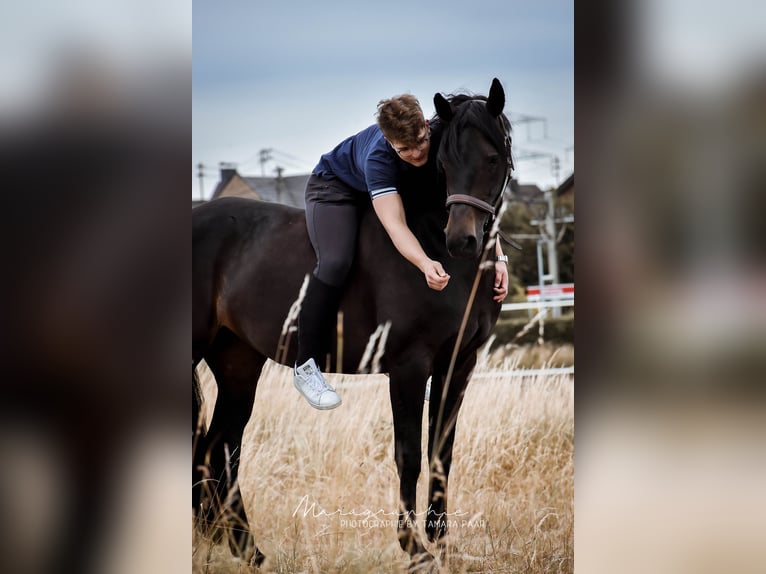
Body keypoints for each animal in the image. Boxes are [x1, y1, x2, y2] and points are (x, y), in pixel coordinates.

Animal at [194, 79, 516, 568]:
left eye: (493, 158)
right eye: (444, 164)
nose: (461, 240)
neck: (427, 240)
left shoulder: (458, 365)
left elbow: (442, 454)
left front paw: (442, 546)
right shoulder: (409, 366)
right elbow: (409, 455)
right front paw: (415, 550)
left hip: (237, 364)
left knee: (220, 450)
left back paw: (249, 551)